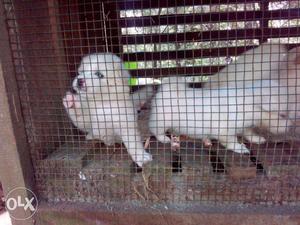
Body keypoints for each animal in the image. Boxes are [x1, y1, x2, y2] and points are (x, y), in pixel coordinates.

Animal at [150, 76, 292, 154]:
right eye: (282, 115)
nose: (290, 126)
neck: (249, 103)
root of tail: (168, 89)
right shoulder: (225, 131)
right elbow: (231, 141)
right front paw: (240, 148)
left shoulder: (246, 125)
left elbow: (249, 132)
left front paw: (256, 139)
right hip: (162, 120)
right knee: (155, 130)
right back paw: (164, 138)